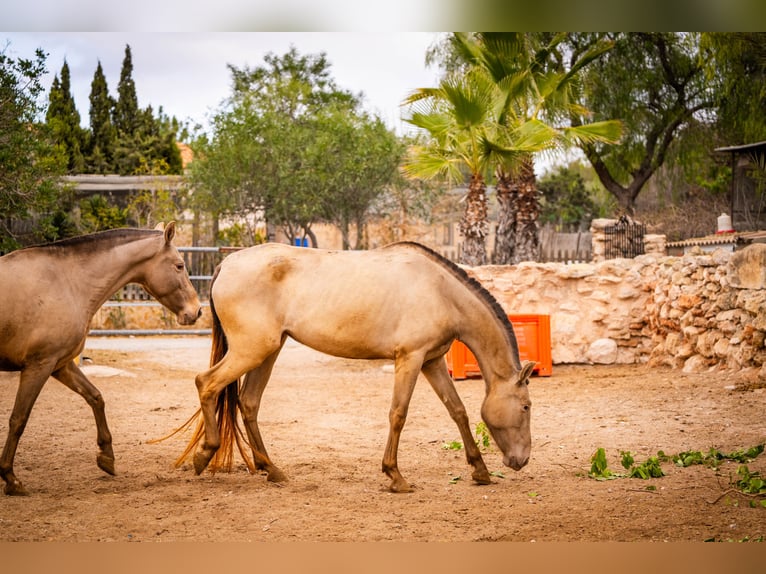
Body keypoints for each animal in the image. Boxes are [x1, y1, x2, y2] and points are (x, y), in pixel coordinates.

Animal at [0, 222, 202, 495]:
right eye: (179, 265)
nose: (197, 310)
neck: (67, 282)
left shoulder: (60, 365)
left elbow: (95, 397)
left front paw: (106, 457)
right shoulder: (38, 366)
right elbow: (18, 419)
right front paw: (11, 478)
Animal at [178, 241, 534, 493]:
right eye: (526, 407)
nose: (521, 460)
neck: (440, 291)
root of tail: (226, 263)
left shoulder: (431, 361)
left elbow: (457, 410)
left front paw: (480, 470)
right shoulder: (410, 358)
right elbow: (398, 414)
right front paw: (395, 476)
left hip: (267, 352)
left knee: (249, 402)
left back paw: (271, 469)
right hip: (251, 351)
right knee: (206, 383)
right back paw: (205, 454)